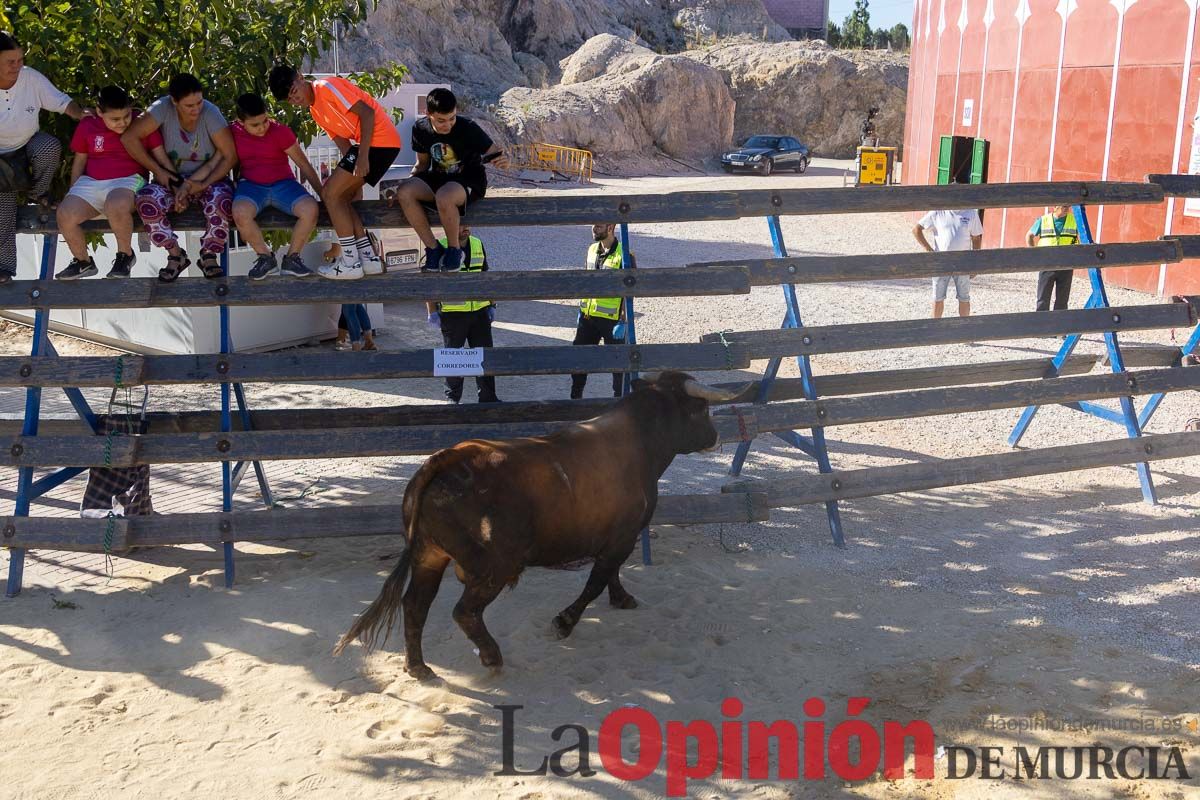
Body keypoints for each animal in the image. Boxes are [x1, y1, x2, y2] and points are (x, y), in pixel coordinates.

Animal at [336, 371, 739, 681]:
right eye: (702, 409)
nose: (717, 437)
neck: (640, 440)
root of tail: (449, 458)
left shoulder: (615, 537)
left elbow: (610, 574)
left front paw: (622, 598)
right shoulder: (622, 536)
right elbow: (596, 580)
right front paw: (564, 622)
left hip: (429, 555)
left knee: (415, 605)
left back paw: (418, 667)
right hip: (495, 567)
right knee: (464, 611)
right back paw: (491, 657)